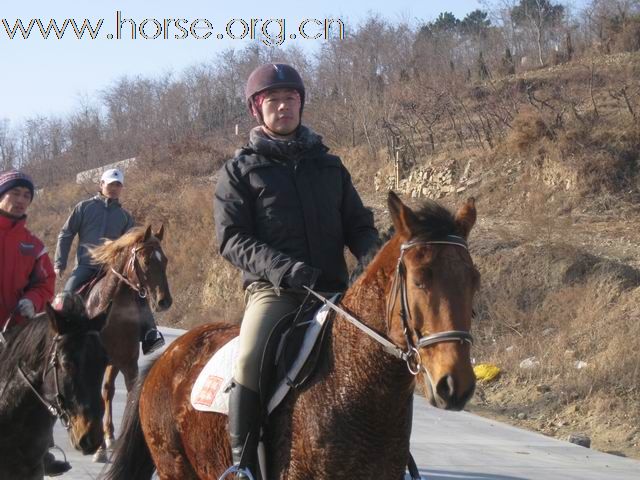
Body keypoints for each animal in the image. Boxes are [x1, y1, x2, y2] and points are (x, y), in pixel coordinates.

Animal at [84, 225, 172, 462]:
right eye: (146, 261)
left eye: (165, 260)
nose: (164, 301)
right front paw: (99, 449)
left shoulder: (129, 364)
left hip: (114, 363)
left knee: (108, 391)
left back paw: (110, 437)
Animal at [102, 192, 478, 480]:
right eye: (420, 279)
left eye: (472, 278)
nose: (454, 384)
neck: (355, 378)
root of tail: (168, 355)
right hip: (175, 467)